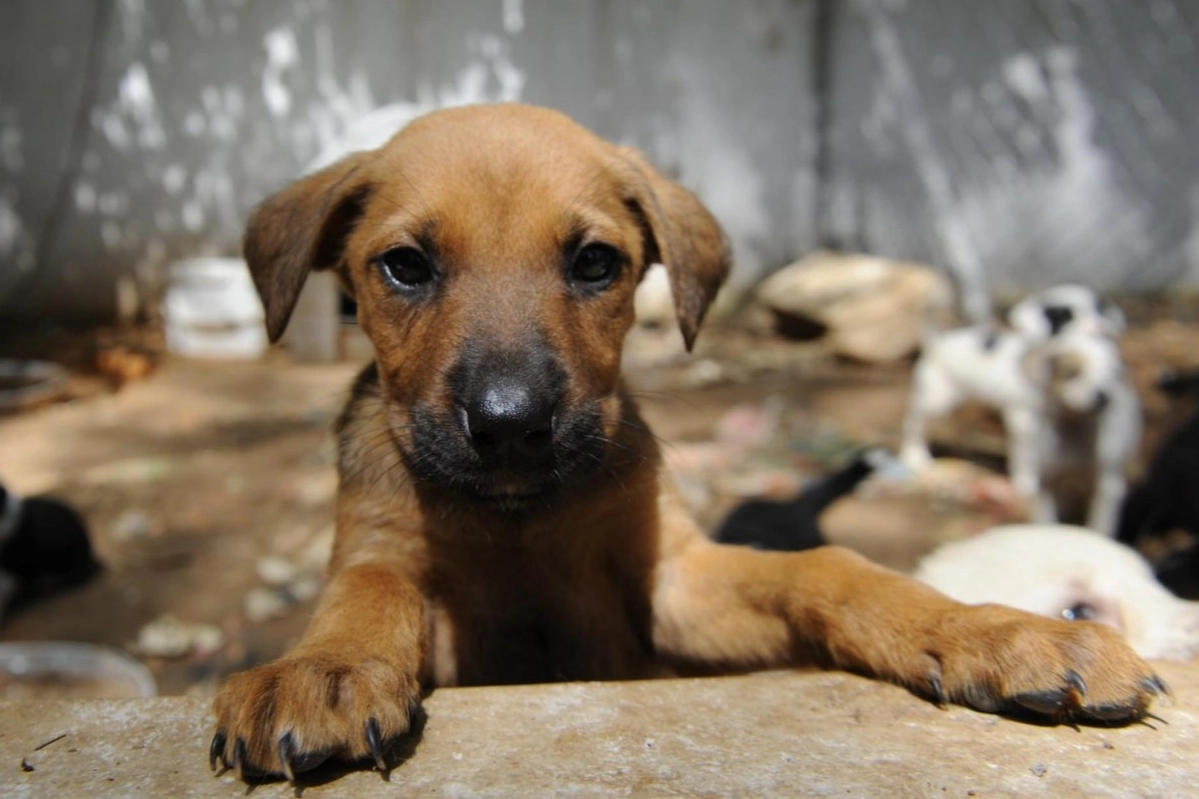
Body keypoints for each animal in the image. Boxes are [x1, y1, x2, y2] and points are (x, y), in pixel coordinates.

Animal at [901, 321, 1141, 532]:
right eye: (1072, 373)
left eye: (1115, 374)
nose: (1104, 397)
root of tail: (938, 341)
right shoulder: (1023, 421)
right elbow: (1026, 459)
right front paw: (1025, 485)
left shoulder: (1107, 483)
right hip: (938, 399)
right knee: (914, 424)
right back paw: (916, 454)